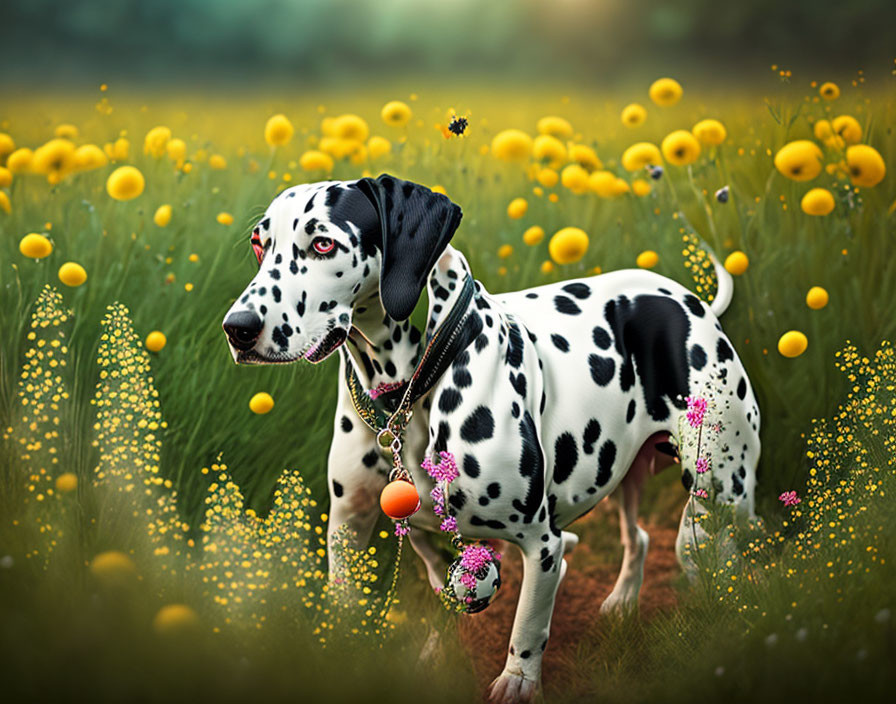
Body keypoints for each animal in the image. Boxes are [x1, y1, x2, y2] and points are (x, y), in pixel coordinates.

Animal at [220, 175, 760, 704]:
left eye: (323, 243)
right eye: (259, 243)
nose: (237, 328)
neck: (415, 389)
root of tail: (691, 301)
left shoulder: (542, 543)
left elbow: (528, 624)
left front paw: (518, 680)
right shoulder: (354, 527)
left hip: (715, 505)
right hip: (627, 479)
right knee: (639, 536)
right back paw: (624, 599)